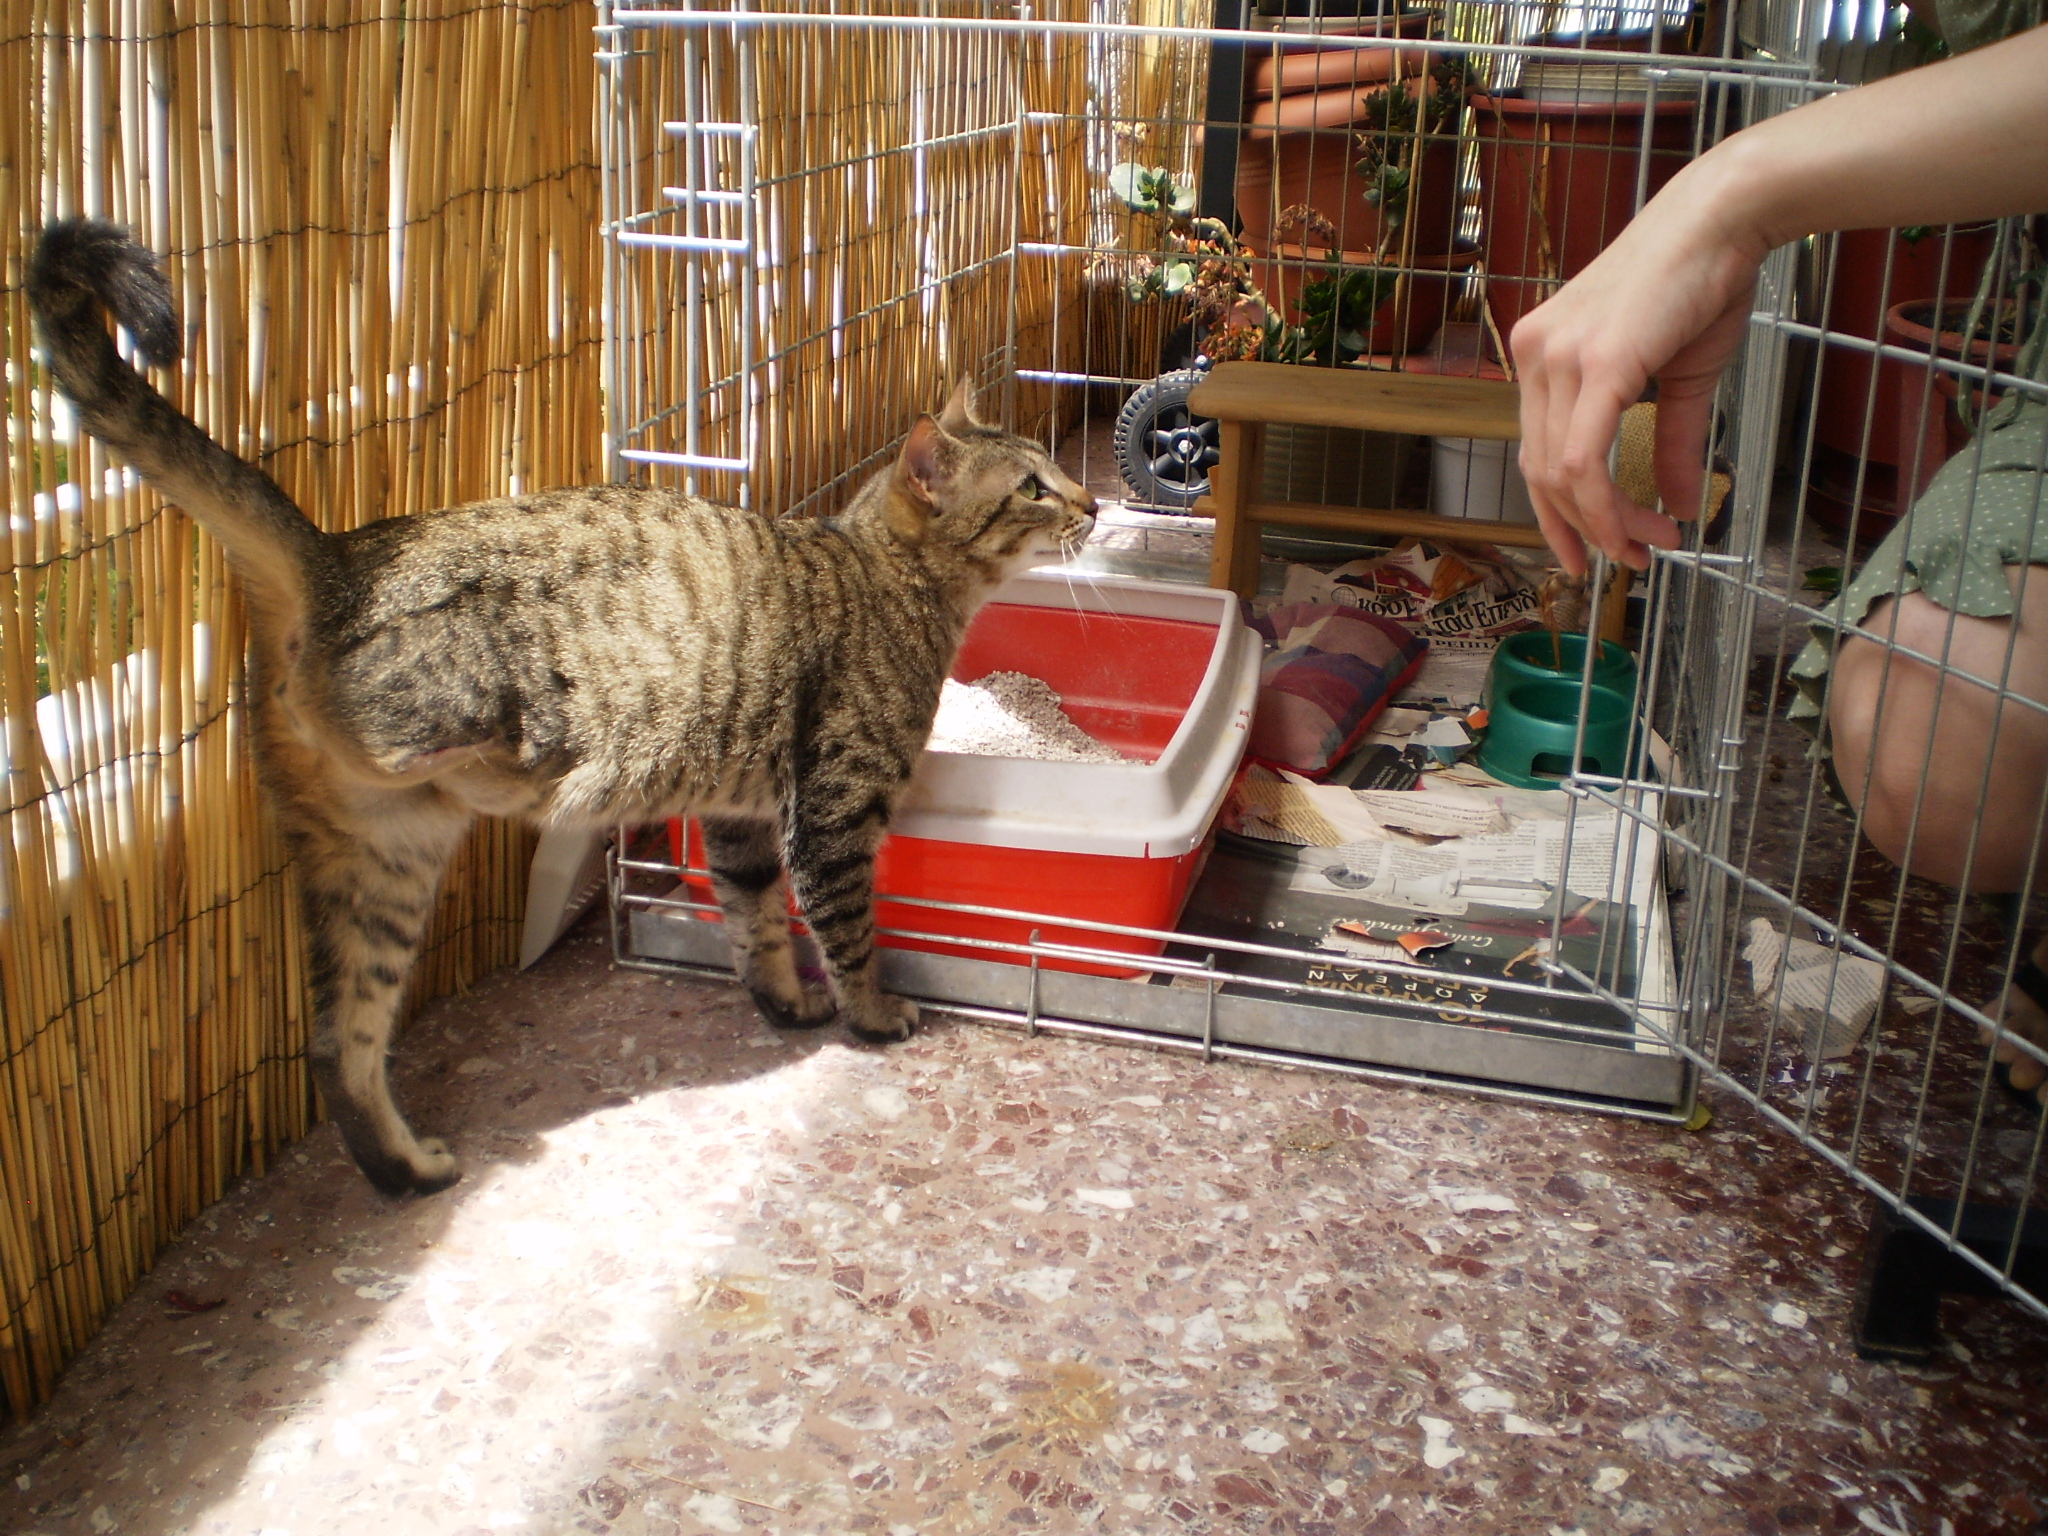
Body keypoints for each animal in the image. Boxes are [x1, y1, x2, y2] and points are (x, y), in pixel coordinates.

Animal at [28, 218, 1096, 1196]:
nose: (1089, 504)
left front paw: (784, 998)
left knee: (338, 1043)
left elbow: (754, 919)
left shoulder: (745, 817)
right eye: (1033, 486)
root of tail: (338, 559)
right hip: (445, 724)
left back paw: (405, 1166)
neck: (884, 573)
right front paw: (873, 1014)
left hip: (378, 866)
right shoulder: (832, 808)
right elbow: (847, 930)